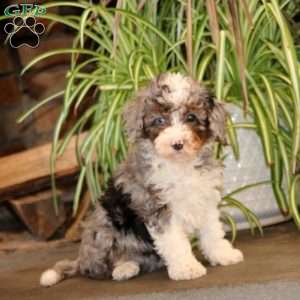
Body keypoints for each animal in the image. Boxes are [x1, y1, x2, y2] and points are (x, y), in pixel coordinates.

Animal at [39, 72, 244, 286]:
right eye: (159, 120)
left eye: (191, 117)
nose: (177, 144)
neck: (180, 166)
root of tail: (81, 258)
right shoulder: (156, 207)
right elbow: (175, 241)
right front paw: (186, 268)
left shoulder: (205, 199)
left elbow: (212, 232)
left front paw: (223, 255)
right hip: (103, 226)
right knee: (99, 267)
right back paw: (122, 269)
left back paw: (129, 267)